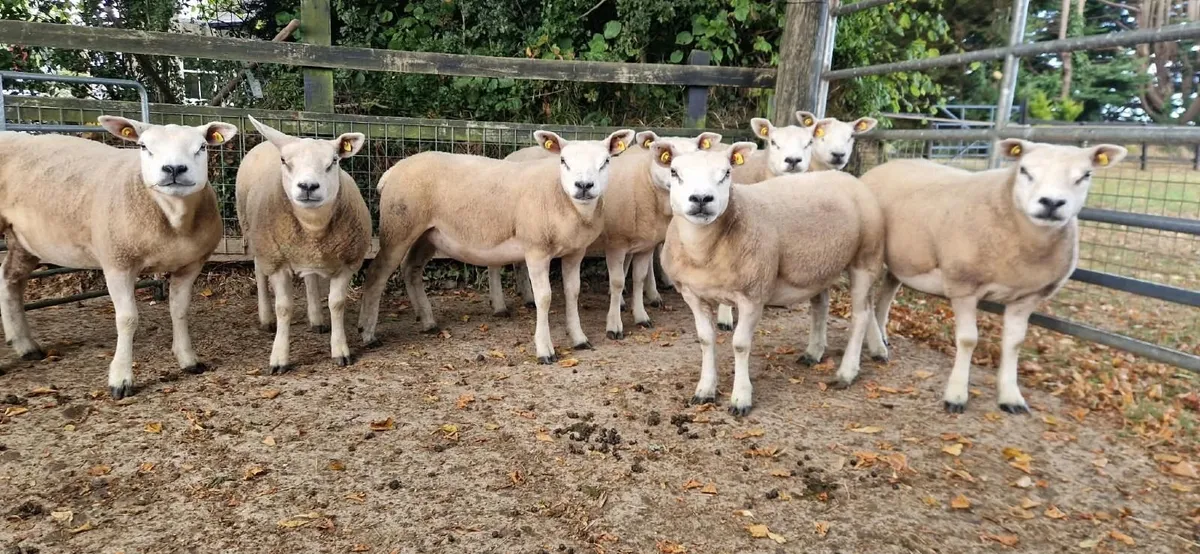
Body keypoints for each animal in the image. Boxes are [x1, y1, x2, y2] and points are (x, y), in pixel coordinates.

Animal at [0, 116, 236, 399]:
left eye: (202, 146)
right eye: (144, 146)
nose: (174, 169)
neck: (173, 220)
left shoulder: (189, 265)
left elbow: (179, 311)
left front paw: (188, 360)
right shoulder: (117, 262)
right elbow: (127, 319)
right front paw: (121, 379)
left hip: (23, 240)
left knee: (9, 279)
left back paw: (25, 345)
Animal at [235, 116, 370, 373]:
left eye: (334, 161)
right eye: (284, 161)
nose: (308, 186)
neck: (312, 227)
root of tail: (270, 141)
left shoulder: (347, 262)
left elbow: (336, 304)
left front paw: (340, 350)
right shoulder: (277, 262)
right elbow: (284, 308)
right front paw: (279, 358)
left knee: (310, 278)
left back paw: (316, 319)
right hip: (254, 234)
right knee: (259, 271)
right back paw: (266, 318)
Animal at [357, 129, 636, 363]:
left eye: (606, 162)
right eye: (563, 161)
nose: (584, 186)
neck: (563, 199)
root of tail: (393, 170)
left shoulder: (575, 252)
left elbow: (573, 292)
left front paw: (579, 339)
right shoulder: (536, 250)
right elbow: (544, 298)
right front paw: (545, 350)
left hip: (429, 234)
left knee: (410, 268)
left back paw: (427, 321)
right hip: (399, 227)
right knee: (377, 273)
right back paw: (368, 333)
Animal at [654, 141, 888, 415]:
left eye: (727, 173)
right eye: (674, 172)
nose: (701, 199)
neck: (703, 252)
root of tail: (850, 178)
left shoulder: (753, 295)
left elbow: (740, 345)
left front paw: (741, 398)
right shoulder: (692, 294)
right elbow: (705, 339)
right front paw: (705, 390)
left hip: (867, 257)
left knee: (861, 314)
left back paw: (847, 372)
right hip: (819, 266)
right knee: (824, 306)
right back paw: (817, 352)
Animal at [860, 140, 1127, 414]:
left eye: (1086, 175)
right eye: (1024, 170)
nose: (1052, 203)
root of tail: (883, 167)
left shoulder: (1028, 296)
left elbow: (1014, 343)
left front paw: (1011, 396)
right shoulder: (963, 285)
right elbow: (968, 340)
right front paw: (956, 395)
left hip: (904, 260)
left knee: (886, 294)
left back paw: (881, 336)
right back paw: (877, 345)